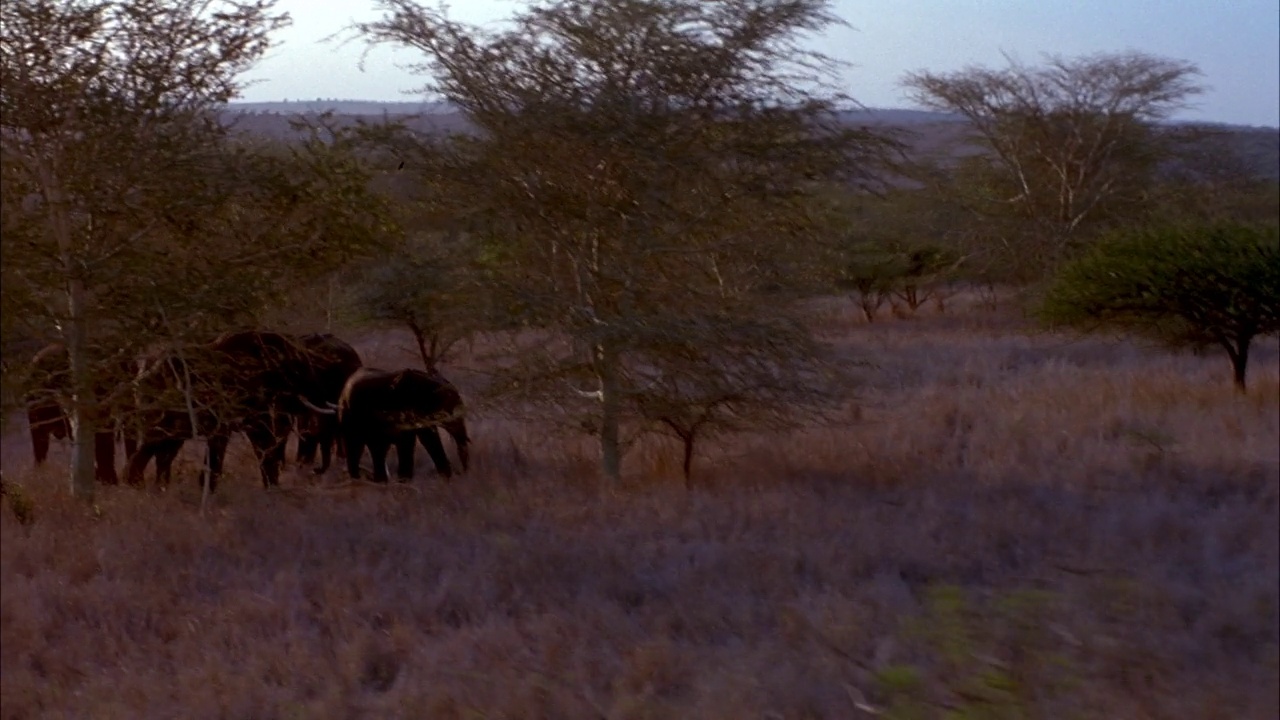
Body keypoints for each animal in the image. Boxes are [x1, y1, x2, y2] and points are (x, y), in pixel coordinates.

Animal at [123, 330, 335, 486]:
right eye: (300, 368)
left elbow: (260, 442)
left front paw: (271, 487)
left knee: (163, 451)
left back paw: (157, 487)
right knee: (153, 445)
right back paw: (136, 485)